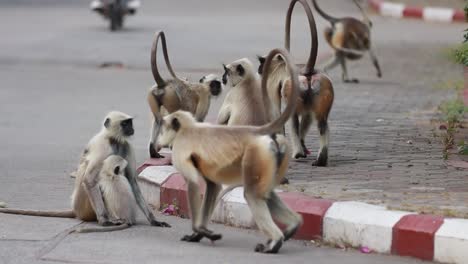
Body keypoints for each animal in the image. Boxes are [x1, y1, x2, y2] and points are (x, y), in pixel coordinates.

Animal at [0, 111, 170, 231]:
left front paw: (153, 220)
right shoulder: (104, 146)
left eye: (130, 122)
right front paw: (105, 221)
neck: (114, 140)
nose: (131, 128)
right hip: (83, 205)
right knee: (92, 177)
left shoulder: (126, 146)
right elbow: (89, 180)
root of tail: (75, 210)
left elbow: (132, 180)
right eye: (125, 123)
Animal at [148, 31, 225, 159]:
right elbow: (198, 119)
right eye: (214, 84)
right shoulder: (205, 94)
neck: (203, 86)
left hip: (152, 94)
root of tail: (164, 83)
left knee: (158, 119)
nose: (217, 88)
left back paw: (153, 151)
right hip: (172, 98)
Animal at [157, 48, 304, 253]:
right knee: (264, 193)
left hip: (254, 159)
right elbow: (212, 186)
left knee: (252, 194)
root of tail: (259, 131)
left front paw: (198, 231)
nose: (224, 77)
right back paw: (291, 227)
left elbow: (195, 183)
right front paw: (200, 232)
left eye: (227, 71)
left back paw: (275, 241)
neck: (249, 82)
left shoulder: (231, 96)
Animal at [258, 0, 334, 166]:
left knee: (293, 119)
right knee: (321, 122)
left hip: (293, 89)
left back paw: (298, 153)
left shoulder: (272, 82)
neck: (280, 64)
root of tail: (307, 71)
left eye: (261, 64)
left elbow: (276, 112)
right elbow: (308, 116)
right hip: (323, 87)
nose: (260, 70)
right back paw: (320, 158)